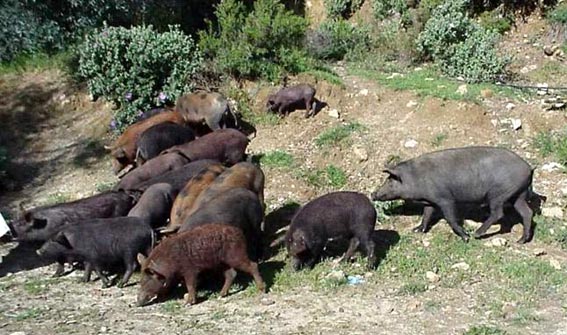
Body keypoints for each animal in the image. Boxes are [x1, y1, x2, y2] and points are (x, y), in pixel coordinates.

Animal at [370, 147, 536, 244]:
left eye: (390, 181)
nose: (373, 193)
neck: (415, 178)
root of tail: (528, 168)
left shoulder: (445, 199)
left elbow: (450, 218)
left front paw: (465, 237)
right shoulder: (430, 201)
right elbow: (426, 215)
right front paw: (416, 230)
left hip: (498, 194)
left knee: (498, 213)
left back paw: (476, 234)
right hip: (518, 194)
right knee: (527, 213)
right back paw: (520, 241)